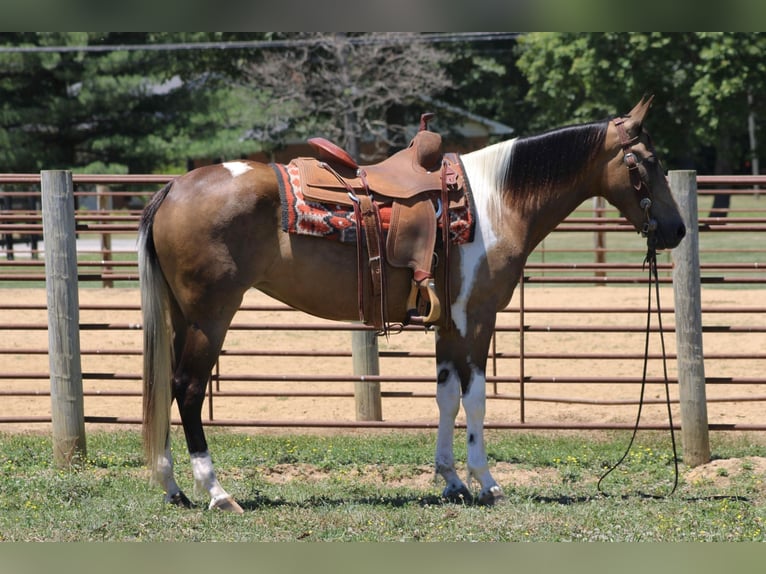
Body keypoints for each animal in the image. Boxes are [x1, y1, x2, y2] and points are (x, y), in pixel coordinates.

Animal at [138, 97, 688, 516]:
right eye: (645, 161)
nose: (677, 230)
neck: (494, 204)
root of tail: (174, 187)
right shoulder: (476, 318)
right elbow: (475, 399)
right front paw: (487, 482)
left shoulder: (448, 325)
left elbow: (445, 397)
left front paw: (452, 480)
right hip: (211, 316)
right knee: (187, 390)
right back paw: (217, 492)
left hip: (184, 316)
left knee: (165, 385)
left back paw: (173, 487)